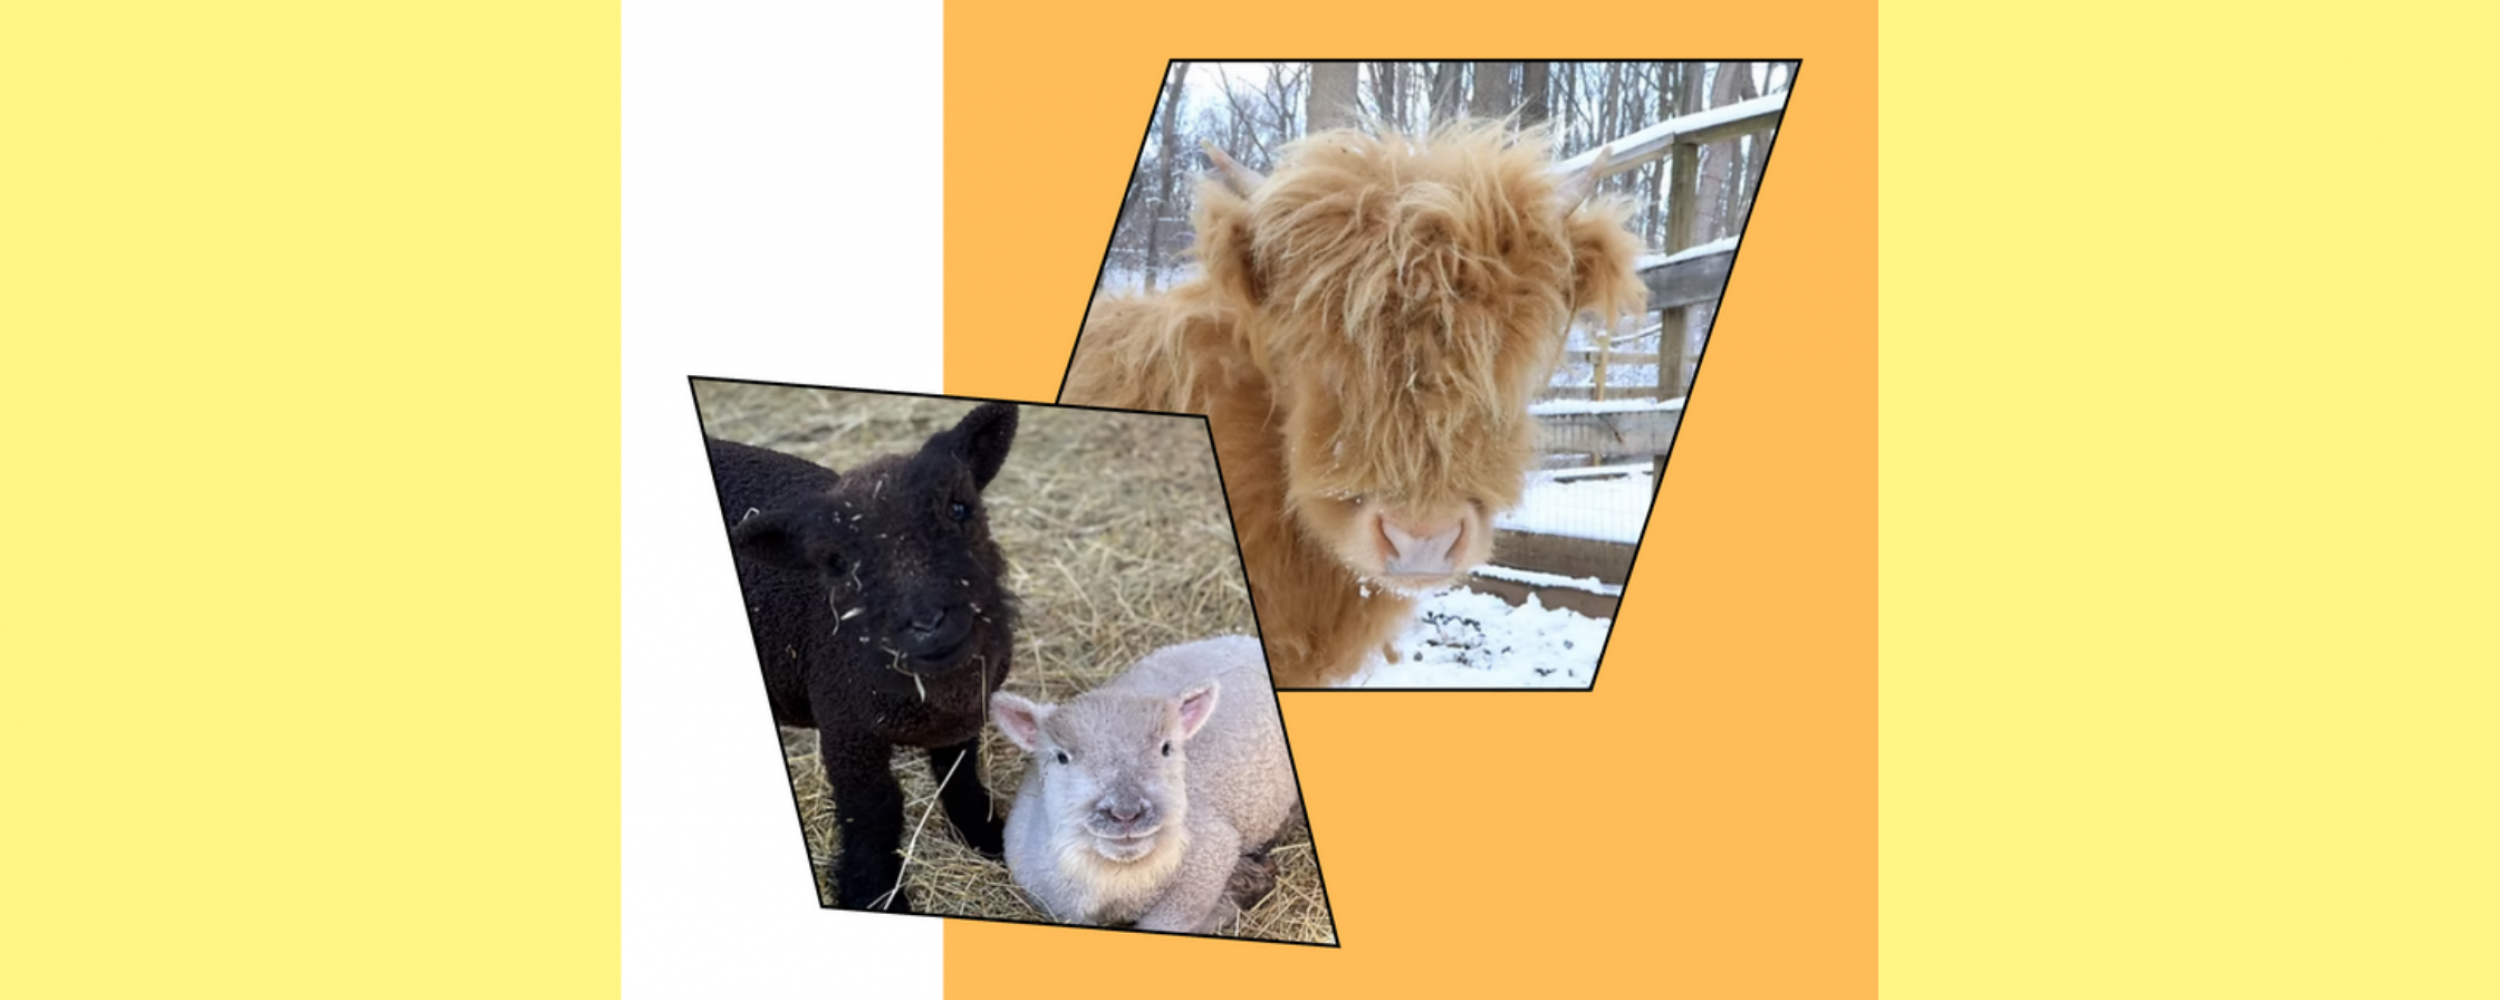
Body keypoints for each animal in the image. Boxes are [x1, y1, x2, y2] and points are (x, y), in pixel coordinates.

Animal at [706, 401, 1021, 912]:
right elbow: (872, 811)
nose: (927, 622)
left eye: (960, 508)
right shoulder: (846, 730)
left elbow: (960, 775)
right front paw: (874, 894)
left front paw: (987, 835)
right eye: (836, 563)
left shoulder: (964, 717)